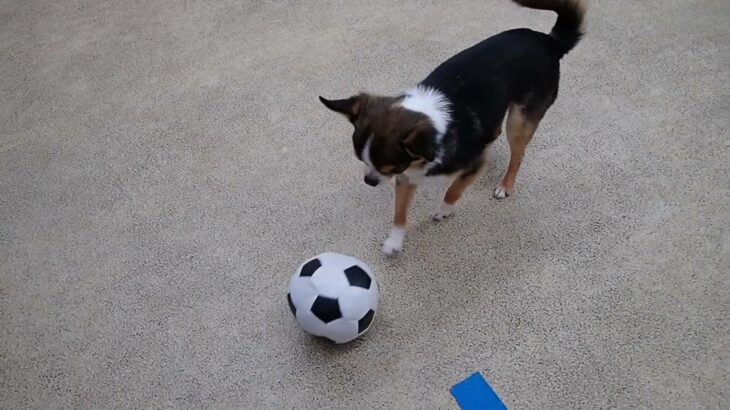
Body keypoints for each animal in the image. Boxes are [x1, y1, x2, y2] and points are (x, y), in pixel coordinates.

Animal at [318, 0, 584, 255]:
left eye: (390, 168)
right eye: (362, 161)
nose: (369, 180)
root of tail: (550, 41)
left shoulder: (474, 165)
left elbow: (454, 189)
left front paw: (443, 210)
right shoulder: (407, 177)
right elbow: (399, 212)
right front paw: (394, 241)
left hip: (520, 120)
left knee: (517, 155)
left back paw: (505, 185)